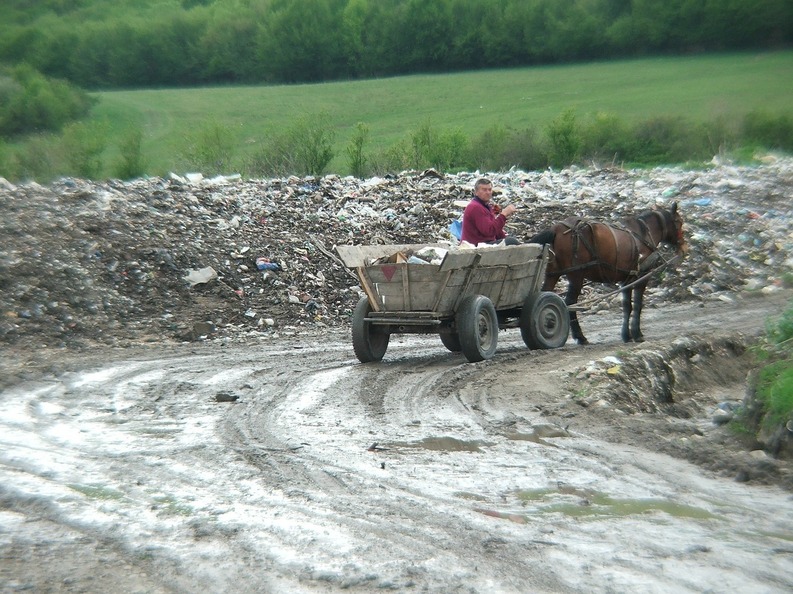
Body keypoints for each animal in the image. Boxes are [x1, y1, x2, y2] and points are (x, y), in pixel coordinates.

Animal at [524, 202, 688, 344]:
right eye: (679, 222)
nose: (684, 248)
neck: (644, 233)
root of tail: (556, 229)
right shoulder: (642, 276)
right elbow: (638, 305)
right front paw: (637, 333)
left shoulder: (627, 279)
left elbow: (627, 306)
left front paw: (626, 335)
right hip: (576, 276)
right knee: (569, 303)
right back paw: (580, 336)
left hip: (553, 274)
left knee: (544, 295)